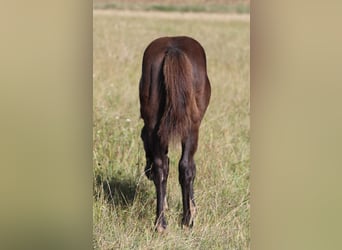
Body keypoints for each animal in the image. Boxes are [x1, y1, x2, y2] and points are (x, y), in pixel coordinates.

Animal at [139, 35, 211, 232]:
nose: (146, 172)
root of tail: (173, 49)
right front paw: (193, 210)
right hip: (192, 127)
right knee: (185, 166)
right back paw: (187, 221)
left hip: (156, 126)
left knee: (162, 166)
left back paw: (161, 223)